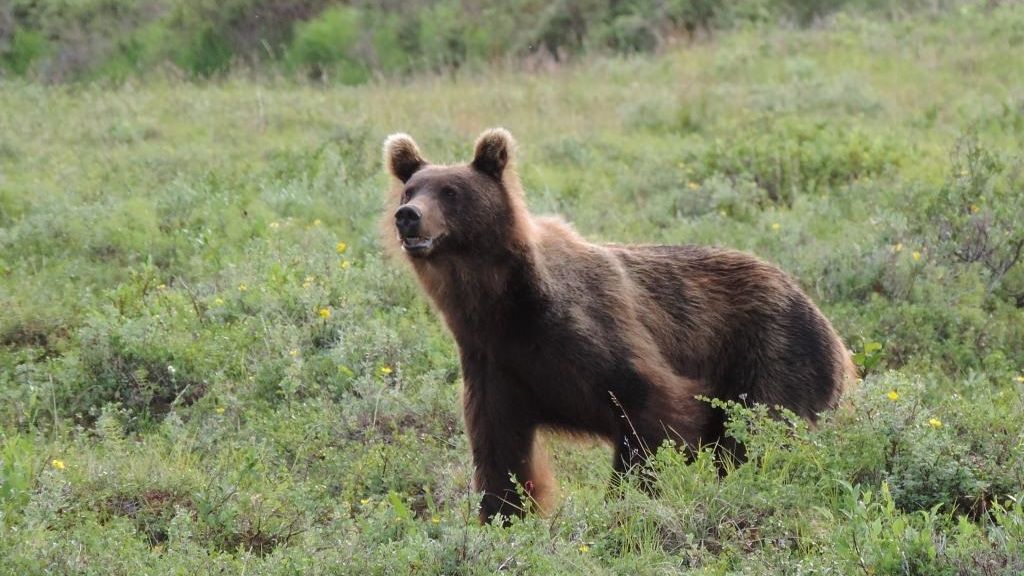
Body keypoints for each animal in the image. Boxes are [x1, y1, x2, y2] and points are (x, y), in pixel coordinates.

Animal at [382, 128, 856, 525]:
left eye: (450, 191)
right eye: (410, 188)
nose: (408, 216)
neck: (504, 306)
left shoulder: (590, 332)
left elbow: (652, 410)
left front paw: (627, 500)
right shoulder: (495, 363)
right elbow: (500, 450)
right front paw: (503, 516)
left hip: (773, 351)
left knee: (762, 430)